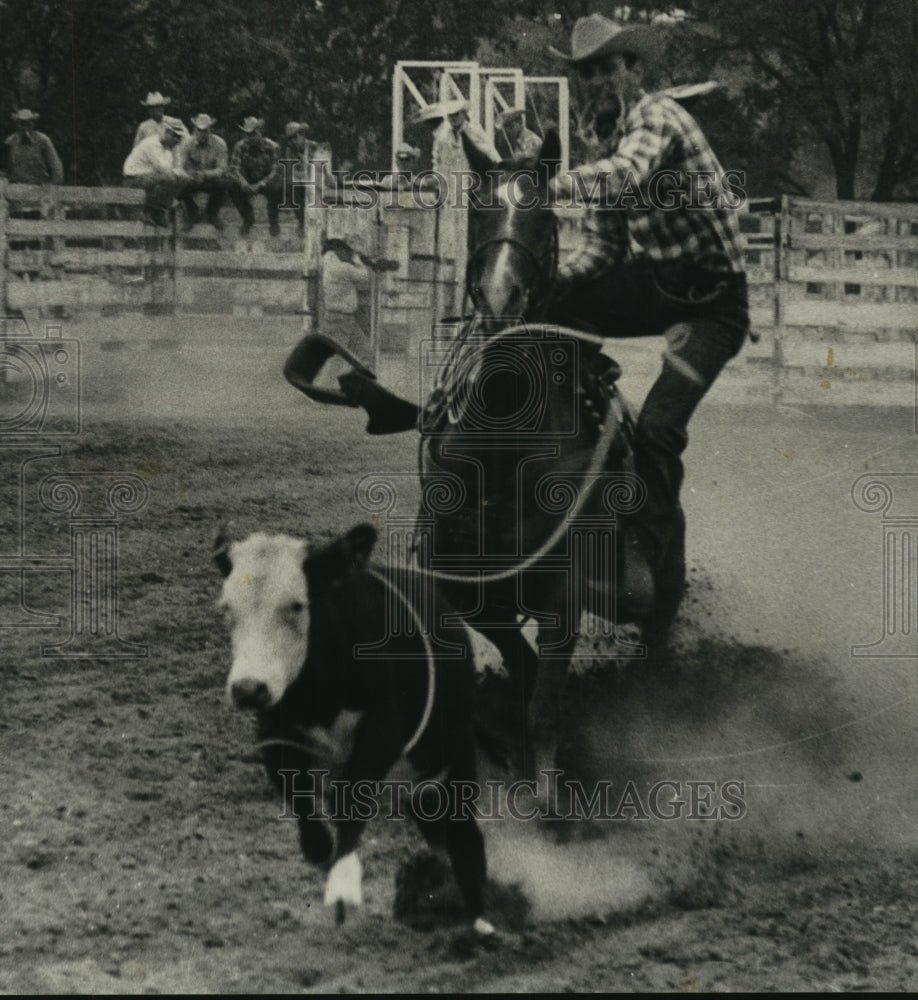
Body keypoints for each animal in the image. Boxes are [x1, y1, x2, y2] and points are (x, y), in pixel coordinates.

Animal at [216, 524, 496, 936]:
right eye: (226, 608)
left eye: (297, 605)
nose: (249, 689)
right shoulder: (274, 728)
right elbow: (295, 790)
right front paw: (319, 849)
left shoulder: (383, 731)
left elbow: (349, 798)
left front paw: (343, 884)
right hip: (422, 792)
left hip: (454, 761)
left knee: (465, 840)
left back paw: (481, 922)